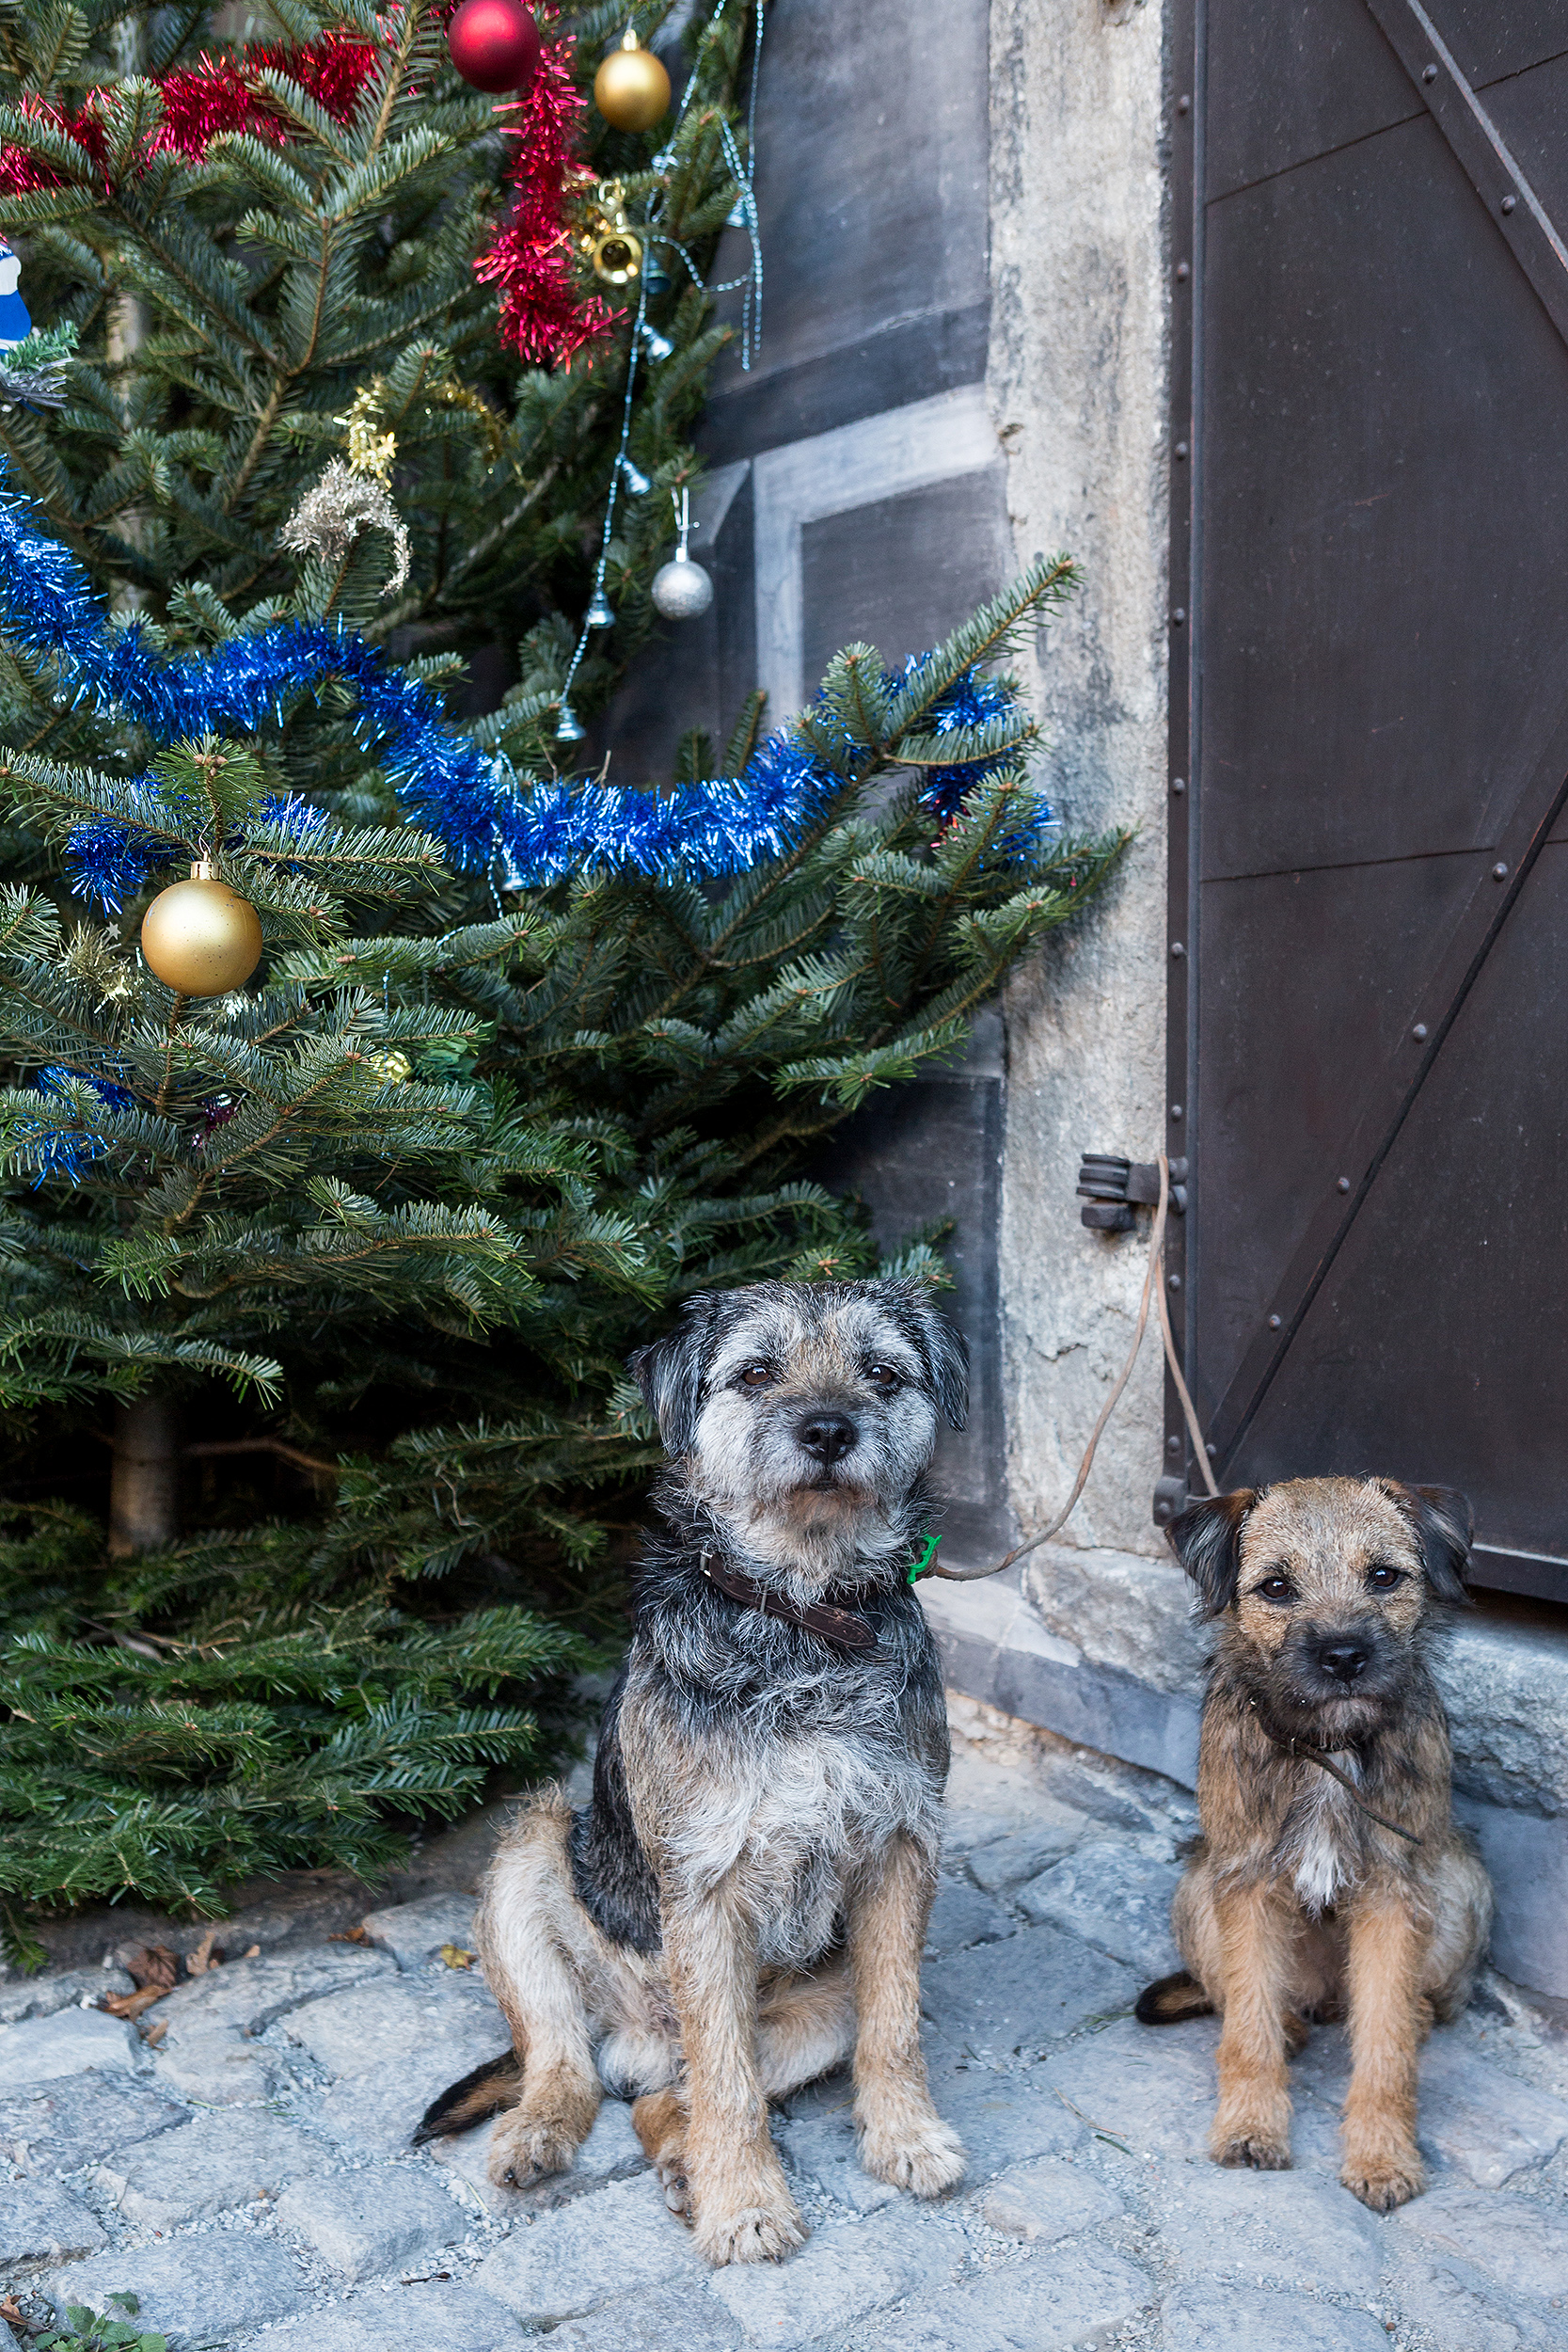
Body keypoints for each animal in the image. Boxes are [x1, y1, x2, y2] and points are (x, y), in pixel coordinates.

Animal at [422, 1279, 973, 2267]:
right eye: (755, 1372)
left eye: (881, 1373)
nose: (828, 1429)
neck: (802, 1615)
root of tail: (639, 2037)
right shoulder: (704, 1884)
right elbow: (727, 2079)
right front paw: (746, 2206)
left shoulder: (900, 1849)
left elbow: (893, 2026)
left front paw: (906, 2137)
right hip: (532, 1845)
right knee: (567, 2058)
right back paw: (541, 2132)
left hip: (812, 2013)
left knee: (659, 2099)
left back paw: (683, 2165)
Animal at [1142, 1477, 1495, 2211]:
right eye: (1276, 1587)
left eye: (1383, 1576)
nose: (1343, 1657)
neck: (1327, 1751)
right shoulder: (1245, 1884)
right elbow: (1248, 2025)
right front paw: (1249, 2128)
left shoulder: (1394, 1894)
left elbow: (1385, 2045)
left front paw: (1382, 2155)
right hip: (1195, 1889)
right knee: (1244, 2000)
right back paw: (1290, 2026)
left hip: (1459, 1883)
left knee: (1408, 2004)